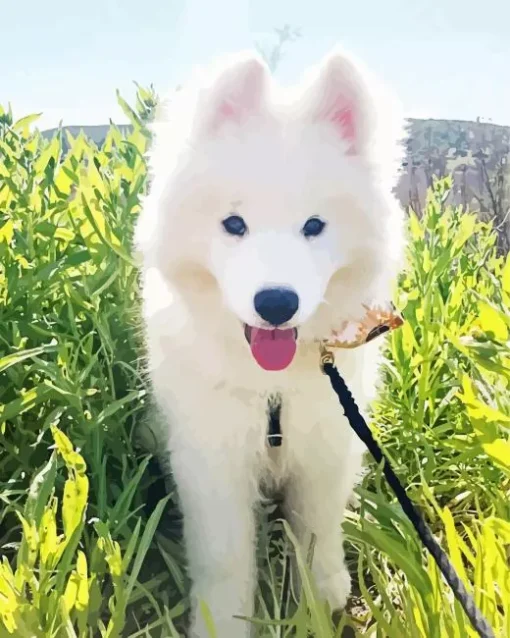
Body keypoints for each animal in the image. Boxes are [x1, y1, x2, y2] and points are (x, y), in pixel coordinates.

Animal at [136, 46, 406, 638]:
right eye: (234, 223)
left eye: (315, 226)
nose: (276, 303)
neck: (271, 389)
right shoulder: (213, 457)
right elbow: (225, 555)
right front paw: (222, 623)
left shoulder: (329, 441)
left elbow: (317, 532)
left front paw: (322, 601)